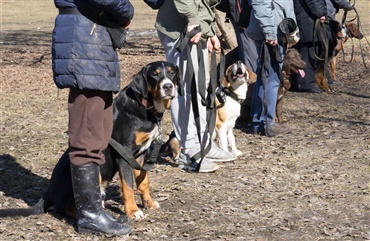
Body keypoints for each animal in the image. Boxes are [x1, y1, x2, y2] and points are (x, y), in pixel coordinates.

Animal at [0, 61, 179, 220]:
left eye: (172, 73)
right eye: (155, 75)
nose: (168, 86)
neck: (145, 107)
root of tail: (49, 190)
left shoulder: (140, 155)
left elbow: (143, 181)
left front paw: (149, 203)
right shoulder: (124, 154)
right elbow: (128, 186)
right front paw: (133, 211)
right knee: (64, 207)